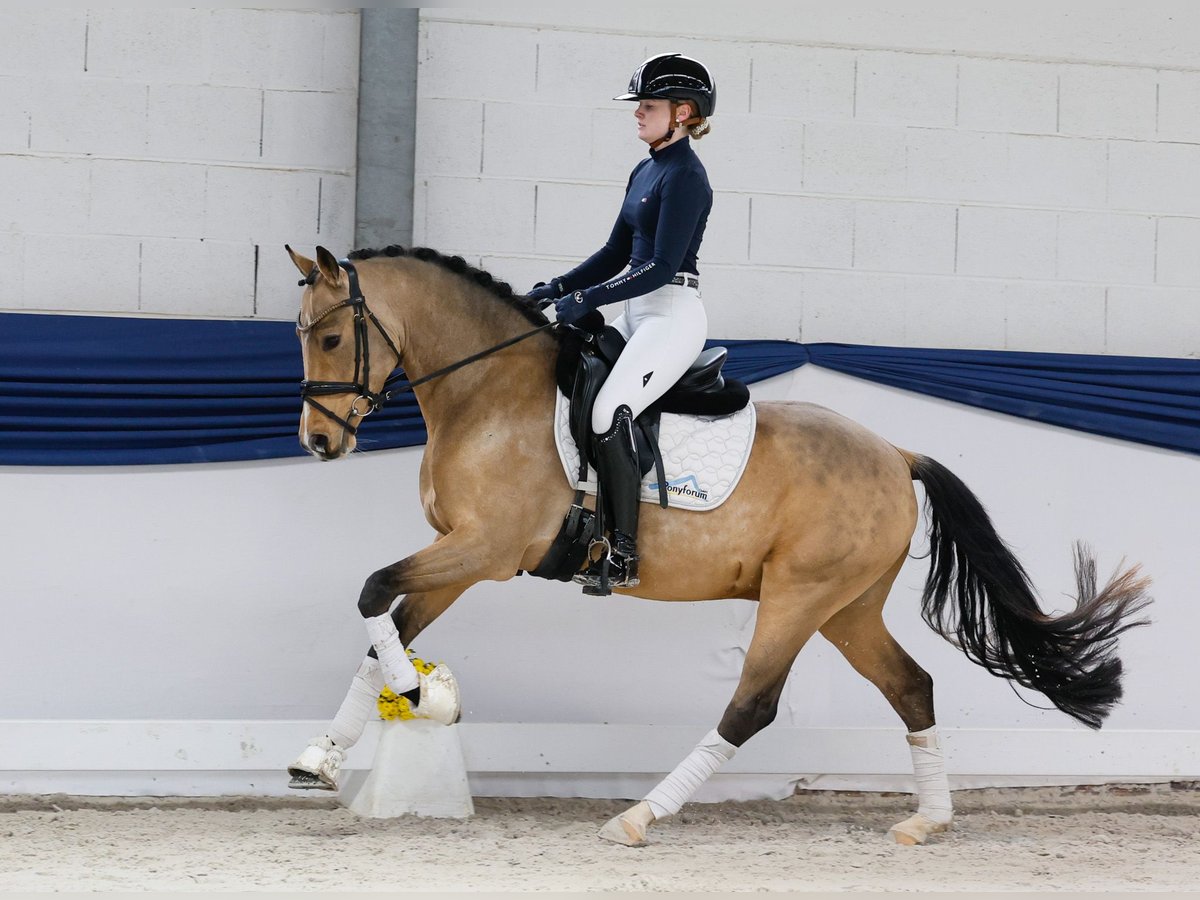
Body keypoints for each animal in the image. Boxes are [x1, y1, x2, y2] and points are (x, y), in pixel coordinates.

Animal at [283, 243, 1152, 846]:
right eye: (301, 335)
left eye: (329, 338)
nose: (318, 443)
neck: (488, 393)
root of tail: (895, 453)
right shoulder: (458, 557)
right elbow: (383, 631)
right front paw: (323, 756)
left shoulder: (486, 551)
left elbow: (372, 594)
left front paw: (421, 694)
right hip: (847, 607)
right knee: (912, 686)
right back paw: (925, 822)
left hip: (799, 597)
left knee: (751, 705)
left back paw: (640, 816)